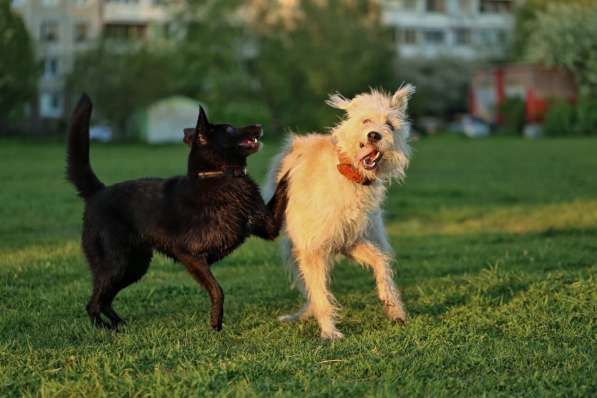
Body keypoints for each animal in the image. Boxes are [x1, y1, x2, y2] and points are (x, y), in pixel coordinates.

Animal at [66, 95, 288, 332]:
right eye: (229, 129)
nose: (260, 125)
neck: (219, 176)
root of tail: (98, 192)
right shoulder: (190, 256)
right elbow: (217, 290)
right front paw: (215, 324)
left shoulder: (270, 227)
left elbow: (282, 186)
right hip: (116, 264)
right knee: (93, 303)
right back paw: (103, 328)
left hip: (135, 267)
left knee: (105, 299)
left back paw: (118, 324)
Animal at [266, 84, 414, 338]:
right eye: (366, 121)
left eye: (390, 125)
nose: (374, 135)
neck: (349, 175)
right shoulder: (312, 249)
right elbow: (320, 295)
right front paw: (329, 332)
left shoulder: (349, 240)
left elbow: (379, 261)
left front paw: (388, 298)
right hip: (293, 251)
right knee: (310, 289)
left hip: (374, 233)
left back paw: (396, 310)